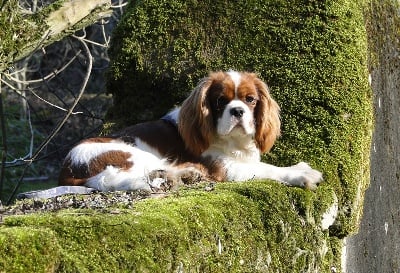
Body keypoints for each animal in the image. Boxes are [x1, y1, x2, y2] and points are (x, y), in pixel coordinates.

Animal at [57, 70, 324, 191]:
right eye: (220, 102)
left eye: (250, 100)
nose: (237, 111)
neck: (233, 142)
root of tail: (67, 169)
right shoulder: (226, 169)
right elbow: (267, 168)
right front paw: (301, 173)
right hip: (130, 153)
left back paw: (188, 173)